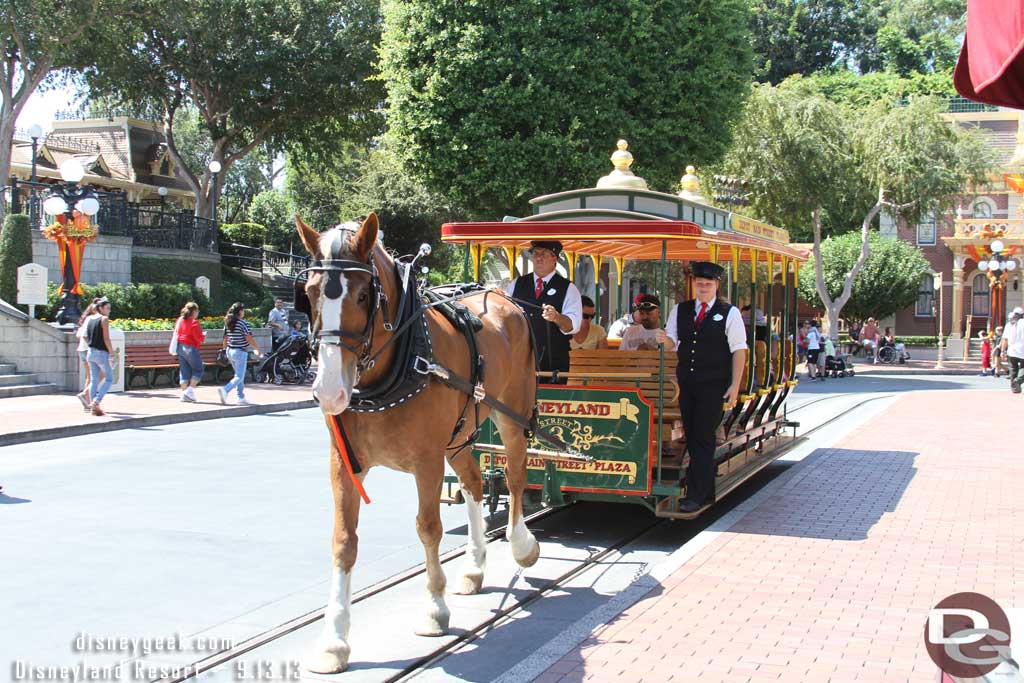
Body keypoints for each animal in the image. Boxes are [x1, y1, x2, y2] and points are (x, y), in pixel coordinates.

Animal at [292, 215, 540, 671]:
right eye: (311, 293)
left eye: (363, 294)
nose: (330, 390)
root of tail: (501, 296)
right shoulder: (344, 463)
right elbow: (343, 541)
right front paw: (334, 641)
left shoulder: (426, 461)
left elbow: (429, 527)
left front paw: (434, 609)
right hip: (459, 435)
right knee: (475, 483)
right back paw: (474, 568)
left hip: (511, 415)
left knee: (515, 476)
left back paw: (521, 545)